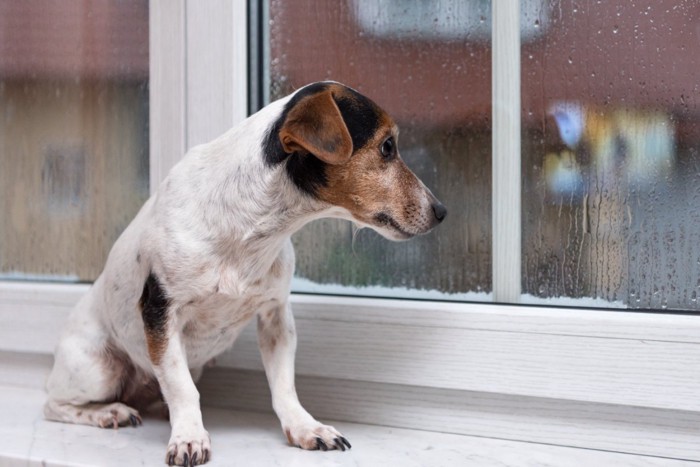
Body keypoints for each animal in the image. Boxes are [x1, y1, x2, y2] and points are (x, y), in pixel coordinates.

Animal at [43, 82, 446, 466]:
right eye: (387, 147)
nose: (442, 211)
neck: (253, 228)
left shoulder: (276, 316)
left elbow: (284, 386)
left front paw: (305, 428)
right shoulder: (160, 312)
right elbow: (182, 387)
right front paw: (189, 438)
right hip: (99, 369)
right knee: (53, 404)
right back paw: (109, 412)